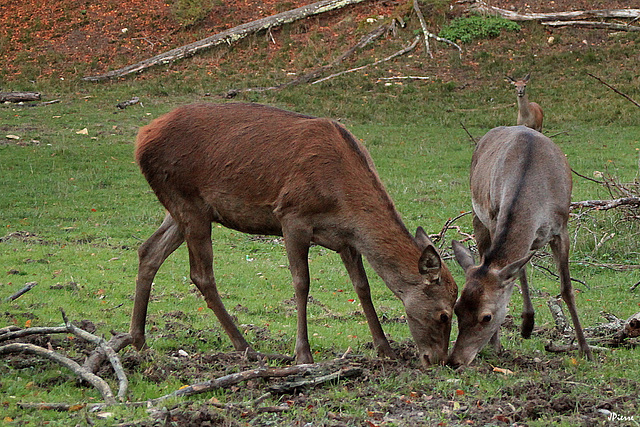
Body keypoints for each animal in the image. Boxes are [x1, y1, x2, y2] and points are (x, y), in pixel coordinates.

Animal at [130, 102, 458, 366]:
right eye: (444, 314)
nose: (438, 360)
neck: (343, 198)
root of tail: (141, 138)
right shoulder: (292, 217)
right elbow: (302, 283)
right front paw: (303, 354)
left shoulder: (346, 239)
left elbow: (362, 286)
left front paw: (386, 350)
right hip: (188, 200)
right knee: (201, 273)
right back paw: (246, 347)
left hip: (183, 209)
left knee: (149, 251)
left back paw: (138, 340)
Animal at [448, 124, 592, 368]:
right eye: (456, 308)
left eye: (486, 317)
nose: (454, 360)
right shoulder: (495, 217)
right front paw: (497, 343)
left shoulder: (561, 227)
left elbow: (567, 288)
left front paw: (586, 349)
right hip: (478, 214)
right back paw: (525, 326)